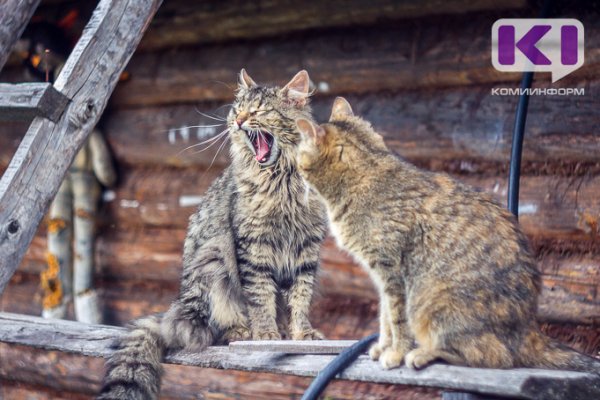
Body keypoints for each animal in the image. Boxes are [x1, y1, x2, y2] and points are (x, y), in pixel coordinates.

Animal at [97, 70, 328, 398]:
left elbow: (299, 299)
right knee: (209, 328)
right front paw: (266, 334)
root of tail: (176, 309)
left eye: (258, 111)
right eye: (238, 110)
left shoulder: (306, 250)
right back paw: (241, 331)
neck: (281, 182)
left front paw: (301, 333)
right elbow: (261, 300)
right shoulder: (253, 248)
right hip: (213, 259)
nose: (240, 121)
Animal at [294, 97, 600, 376]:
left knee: (494, 357)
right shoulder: (381, 276)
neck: (363, 174)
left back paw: (424, 354)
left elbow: (396, 320)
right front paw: (383, 347)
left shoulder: (392, 272)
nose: (295, 168)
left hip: (432, 304)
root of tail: (530, 328)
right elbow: (384, 318)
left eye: (299, 156)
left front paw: (395, 353)